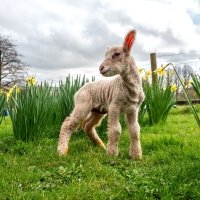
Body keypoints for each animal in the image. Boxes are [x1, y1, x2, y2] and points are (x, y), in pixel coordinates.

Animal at [57, 29, 145, 159]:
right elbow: (115, 130)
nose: (101, 68)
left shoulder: (133, 109)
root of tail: (78, 90)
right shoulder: (114, 106)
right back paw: (62, 151)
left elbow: (135, 130)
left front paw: (136, 156)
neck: (129, 88)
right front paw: (112, 154)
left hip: (98, 110)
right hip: (82, 104)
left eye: (117, 54)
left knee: (87, 125)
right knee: (68, 124)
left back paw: (100, 145)